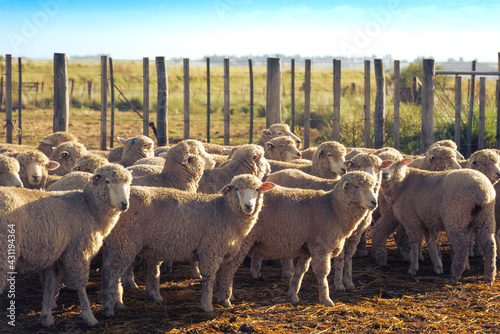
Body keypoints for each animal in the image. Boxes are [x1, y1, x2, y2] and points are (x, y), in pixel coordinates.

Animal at [0, 164, 133, 326]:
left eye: (128, 183)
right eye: (107, 181)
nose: (124, 204)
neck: (89, 207)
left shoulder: (55, 256)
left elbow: (51, 286)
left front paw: (47, 316)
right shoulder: (79, 253)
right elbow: (81, 286)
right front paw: (89, 316)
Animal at [100, 175, 276, 316]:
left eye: (257, 189)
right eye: (237, 189)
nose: (249, 206)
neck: (224, 210)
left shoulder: (226, 253)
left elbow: (225, 276)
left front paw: (225, 300)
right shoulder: (210, 249)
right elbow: (209, 277)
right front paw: (207, 305)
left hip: (116, 244)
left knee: (113, 270)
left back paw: (122, 301)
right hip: (124, 242)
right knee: (111, 272)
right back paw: (111, 307)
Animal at [213, 171, 376, 310]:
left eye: (374, 187)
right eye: (357, 187)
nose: (374, 202)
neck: (333, 208)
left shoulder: (307, 248)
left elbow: (299, 273)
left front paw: (293, 296)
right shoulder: (320, 246)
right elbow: (323, 273)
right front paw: (326, 299)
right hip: (241, 242)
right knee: (228, 267)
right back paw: (227, 298)